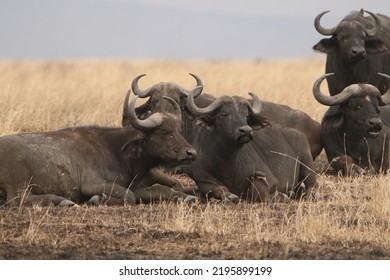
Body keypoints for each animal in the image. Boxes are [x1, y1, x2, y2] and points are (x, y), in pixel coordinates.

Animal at [0, 94, 197, 206]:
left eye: (178, 130)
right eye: (166, 132)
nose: (191, 153)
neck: (117, 151)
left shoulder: (136, 185)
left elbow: (160, 190)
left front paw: (187, 197)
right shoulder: (93, 184)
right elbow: (129, 197)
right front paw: (96, 199)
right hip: (20, 181)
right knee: (19, 198)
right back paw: (64, 201)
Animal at [184, 91, 318, 202]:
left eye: (246, 116)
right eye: (224, 114)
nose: (246, 131)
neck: (227, 164)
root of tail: (298, 133)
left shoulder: (270, 179)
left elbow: (257, 191)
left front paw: (282, 196)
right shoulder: (202, 180)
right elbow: (219, 190)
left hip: (307, 163)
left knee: (312, 185)